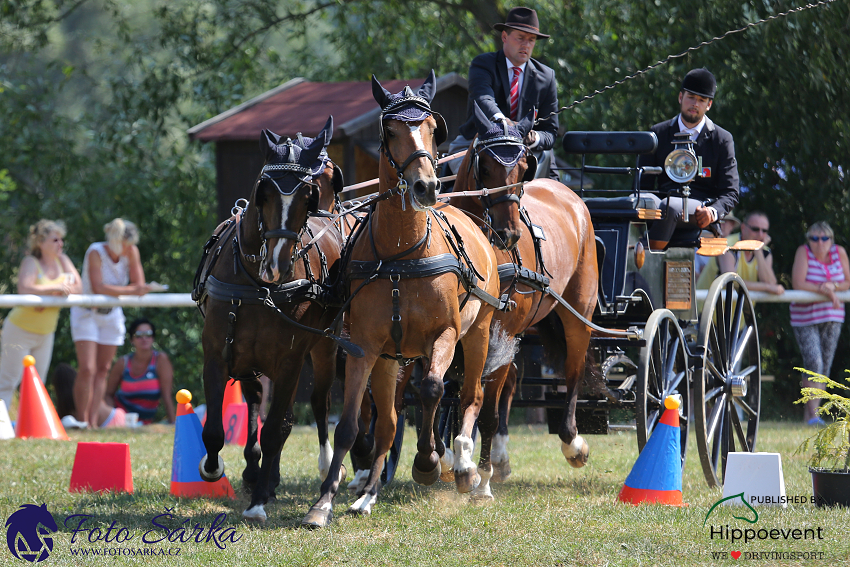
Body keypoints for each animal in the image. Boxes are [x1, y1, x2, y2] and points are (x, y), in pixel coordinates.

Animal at [192, 116, 354, 524]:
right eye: (262, 192)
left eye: (306, 196)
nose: (276, 264)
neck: (256, 283)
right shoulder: (217, 353)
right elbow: (215, 429)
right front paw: (215, 468)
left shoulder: (290, 361)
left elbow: (276, 430)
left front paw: (259, 500)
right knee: (256, 402)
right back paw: (256, 470)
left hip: (324, 349)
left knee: (314, 405)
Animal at [302, 73, 506, 532]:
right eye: (391, 131)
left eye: (432, 128)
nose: (427, 186)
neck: (401, 254)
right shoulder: (363, 348)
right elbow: (350, 425)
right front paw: (324, 502)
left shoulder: (445, 334)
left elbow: (432, 390)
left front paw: (429, 461)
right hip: (390, 359)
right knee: (390, 421)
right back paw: (368, 495)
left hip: (478, 334)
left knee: (470, 397)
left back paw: (464, 467)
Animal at [448, 103, 600, 502]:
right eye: (485, 167)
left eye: (521, 169)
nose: (510, 233)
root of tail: (570, 196)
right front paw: (458, 461)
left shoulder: (497, 332)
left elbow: (485, 408)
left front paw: (481, 479)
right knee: (513, 380)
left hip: (578, 312)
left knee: (574, 370)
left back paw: (572, 443)